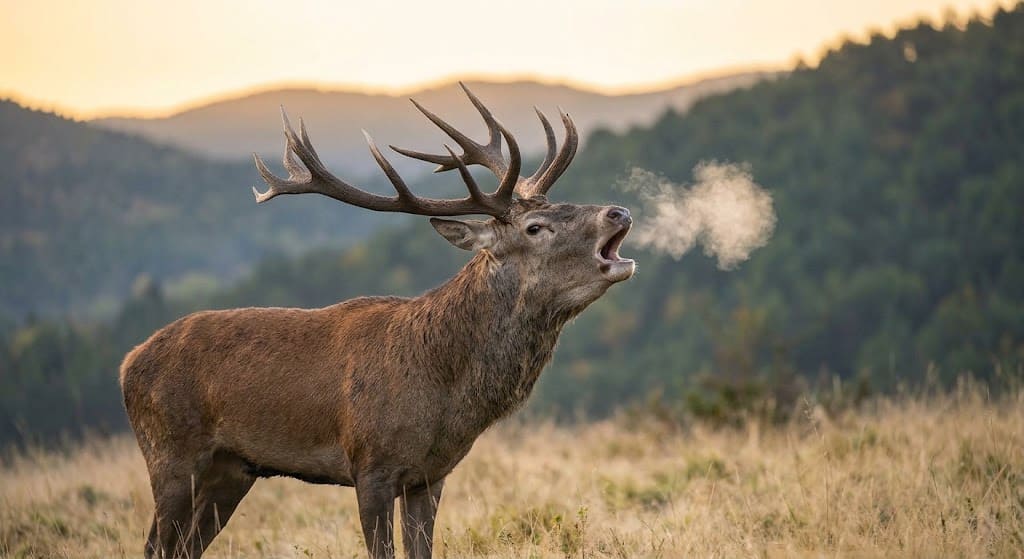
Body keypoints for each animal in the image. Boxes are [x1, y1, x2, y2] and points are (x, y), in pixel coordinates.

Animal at [120, 83, 635, 559]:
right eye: (535, 228)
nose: (619, 210)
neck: (446, 397)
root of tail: (128, 363)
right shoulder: (370, 466)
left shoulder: (430, 476)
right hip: (170, 453)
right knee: (155, 544)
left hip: (231, 470)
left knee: (185, 547)